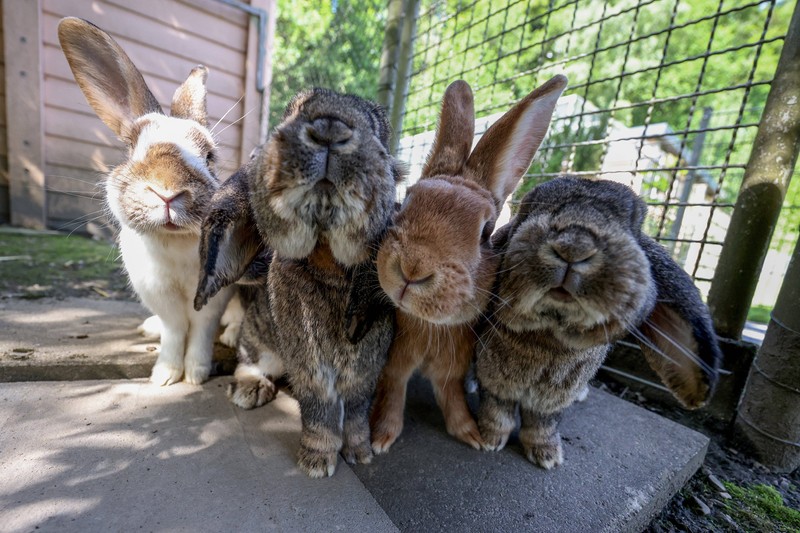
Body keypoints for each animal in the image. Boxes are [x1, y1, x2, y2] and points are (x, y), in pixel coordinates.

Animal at [58, 17, 234, 385]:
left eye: (209, 157)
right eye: (132, 149)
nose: (167, 191)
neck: (175, 242)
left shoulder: (214, 295)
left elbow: (200, 330)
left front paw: (195, 374)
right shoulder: (159, 294)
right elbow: (175, 330)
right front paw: (165, 375)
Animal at [194, 88, 401, 478]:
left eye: (377, 129)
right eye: (289, 114)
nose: (330, 129)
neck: (329, 264)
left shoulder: (366, 371)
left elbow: (356, 410)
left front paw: (360, 452)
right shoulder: (311, 365)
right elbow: (319, 407)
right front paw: (316, 463)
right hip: (260, 341)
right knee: (248, 358)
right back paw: (249, 390)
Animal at [370, 76, 568, 453]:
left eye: (486, 232)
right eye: (407, 201)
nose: (412, 269)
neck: (429, 326)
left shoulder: (454, 366)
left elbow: (452, 396)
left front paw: (471, 434)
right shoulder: (395, 363)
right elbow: (393, 391)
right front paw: (381, 438)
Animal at [476, 176, 722, 469]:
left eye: (635, 224)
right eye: (527, 209)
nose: (573, 247)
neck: (548, 336)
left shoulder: (553, 399)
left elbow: (542, 424)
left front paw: (547, 457)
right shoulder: (493, 381)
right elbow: (497, 411)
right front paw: (488, 440)